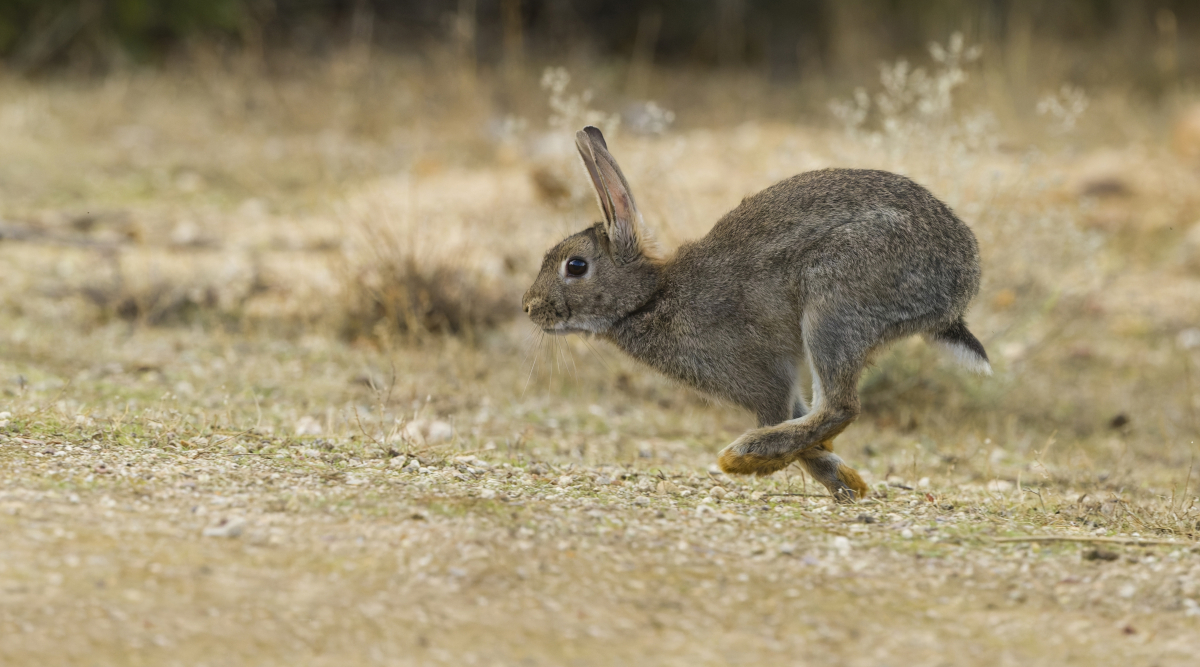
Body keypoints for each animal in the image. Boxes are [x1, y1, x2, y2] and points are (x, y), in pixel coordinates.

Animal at [522, 126, 989, 501]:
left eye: (575, 266)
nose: (528, 307)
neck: (650, 298)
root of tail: (958, 286)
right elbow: (806, 431)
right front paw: (848, 484)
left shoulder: (759, 381)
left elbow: (789, 419)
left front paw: (826, 478)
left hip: (833, 305)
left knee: (841, 406)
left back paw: (740, 457)